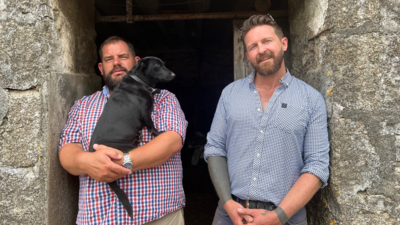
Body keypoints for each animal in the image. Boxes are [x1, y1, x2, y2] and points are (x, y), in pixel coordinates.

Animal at [89, 56, 177, 220]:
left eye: (164, 64)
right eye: (158, 66)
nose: (173, 74)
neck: (139, 81)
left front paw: (157, 90)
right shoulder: (145, 112)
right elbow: (151, 126)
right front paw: (158, 133)